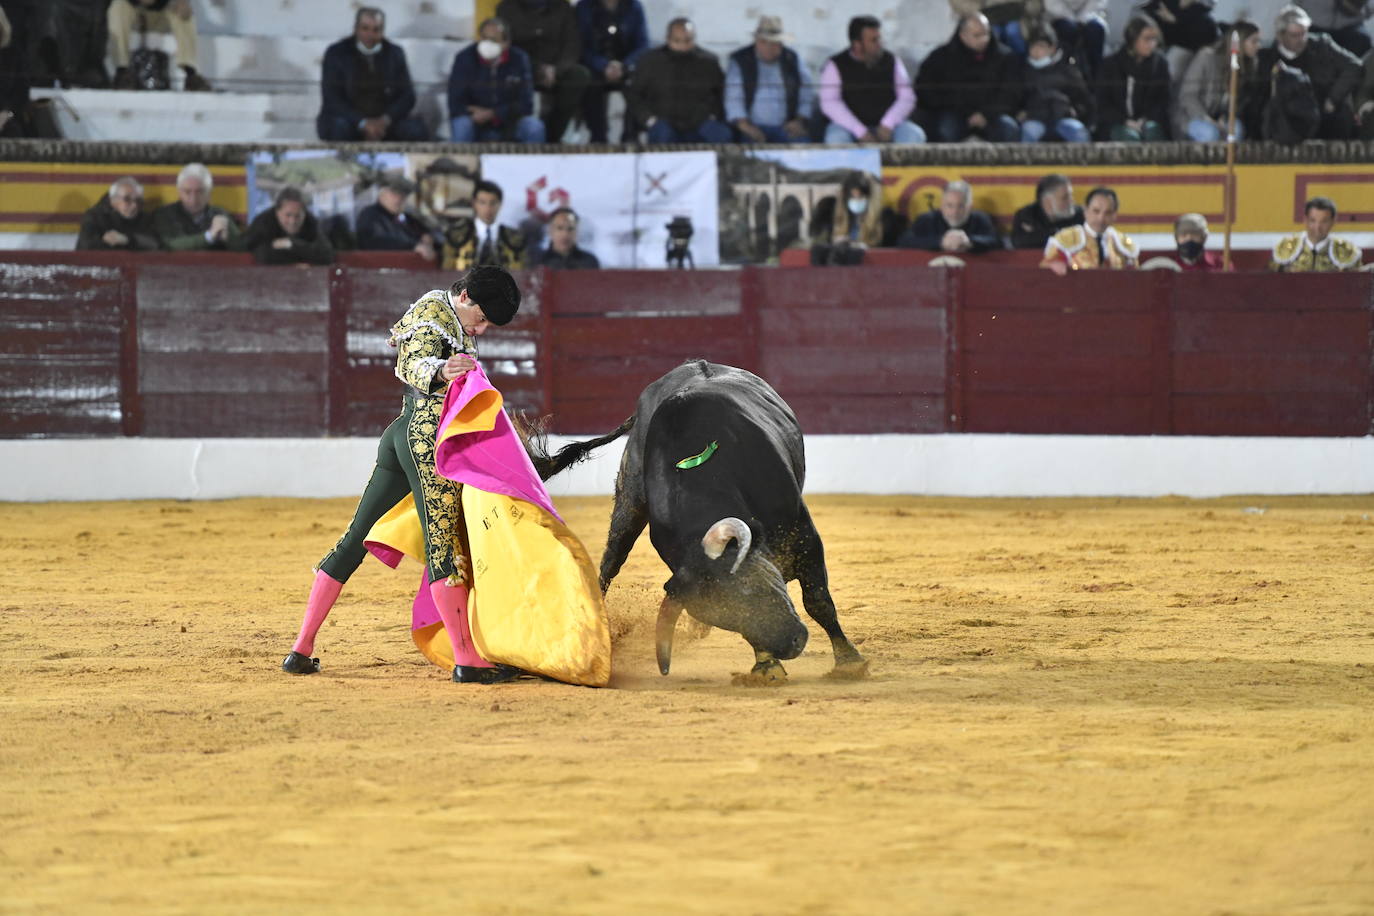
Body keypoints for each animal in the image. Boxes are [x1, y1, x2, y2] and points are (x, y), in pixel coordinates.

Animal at [541, 362, 862, 683]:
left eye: (754, 587)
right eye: (728, 618)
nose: (792, 643)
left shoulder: (804, 535)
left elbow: (818, 601)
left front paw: (850, 661)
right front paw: (766, 666)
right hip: (629, 498)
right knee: (611, 560)